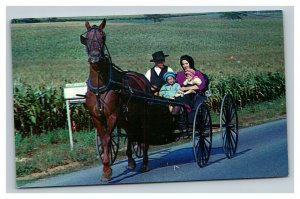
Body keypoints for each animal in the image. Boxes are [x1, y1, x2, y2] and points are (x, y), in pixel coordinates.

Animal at [80, 19, 155, 181]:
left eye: (103, 37)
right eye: (87, 38)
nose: (95, 57)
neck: (100, 86)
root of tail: (142, 78)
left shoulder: (112, 115)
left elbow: (107, 139)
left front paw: (107, 170)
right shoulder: (96, 117)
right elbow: (103, 138)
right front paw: (106, 167)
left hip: (143, 115)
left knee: (144, 133)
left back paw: (145, 163)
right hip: (126, 117)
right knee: (131, 133)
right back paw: (131, 161)